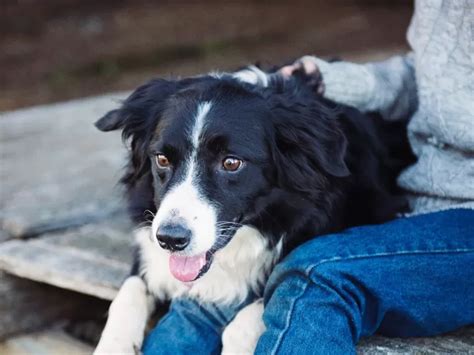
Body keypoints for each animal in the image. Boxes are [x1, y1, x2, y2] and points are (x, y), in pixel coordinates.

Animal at [92, 66, 412, 354]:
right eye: (161, 159)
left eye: (231, 163)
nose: (171, 239)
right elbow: (127, 294)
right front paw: (113, 345)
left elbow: (254, 310)